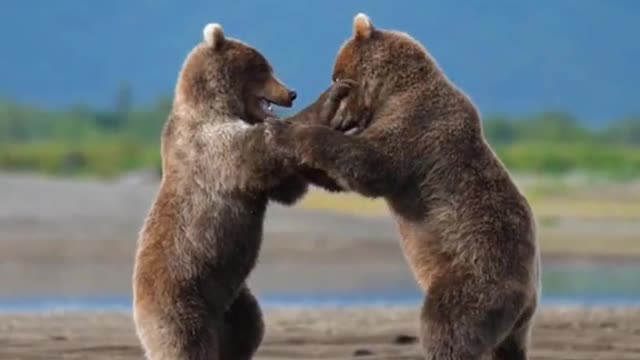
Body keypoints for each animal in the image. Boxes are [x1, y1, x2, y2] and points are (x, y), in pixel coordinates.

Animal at [131, 23, 350, 360]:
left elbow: (286, 187)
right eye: (262, 68)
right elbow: (256, 152)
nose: (291, 93)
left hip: (233, 299)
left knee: (249, 328)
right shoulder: (210, 146)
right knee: (186, 344)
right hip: (181, 300)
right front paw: (329, 99)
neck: (218, 106)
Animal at [268, 12, 544, 358]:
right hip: (512, 324)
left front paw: (283, 130)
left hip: (475, 275)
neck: (392, 92)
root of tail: (529, 297)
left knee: (447, 326)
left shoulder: (417, 127)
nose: (340, 115)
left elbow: (370, 164)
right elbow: (338, 177)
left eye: (335, 74)